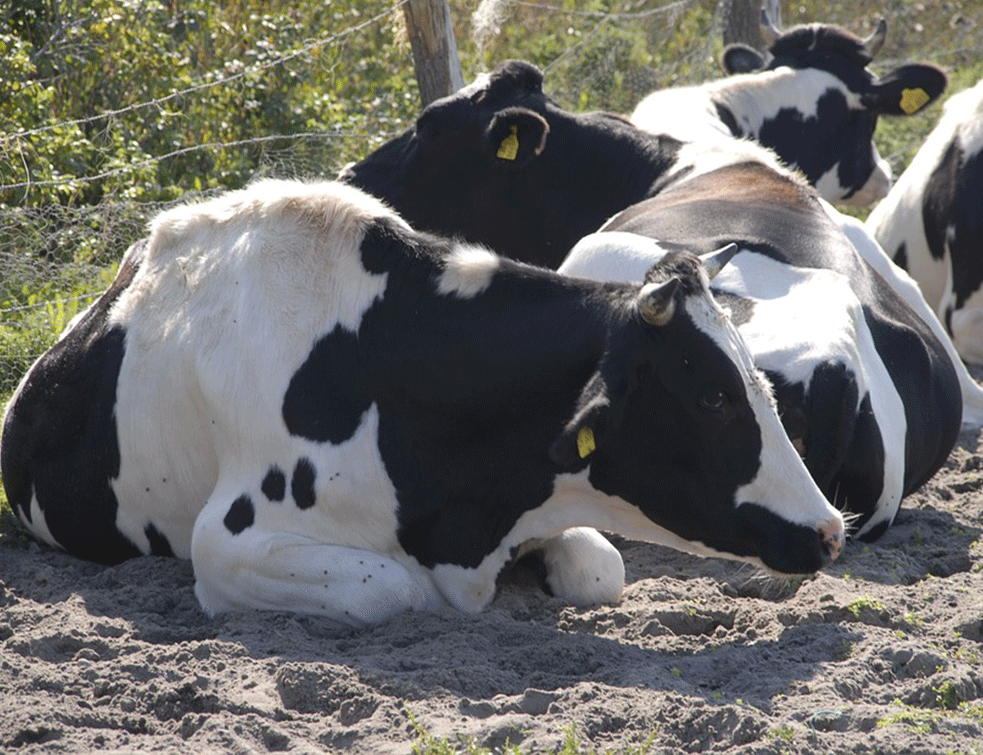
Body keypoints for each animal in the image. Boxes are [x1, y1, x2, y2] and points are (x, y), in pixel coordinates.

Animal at [0, 180, 844, 624]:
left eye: (760, 385)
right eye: (711, 398)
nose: (830, 529)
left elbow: (600, 567)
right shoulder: (226, 540)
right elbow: (393, 587)